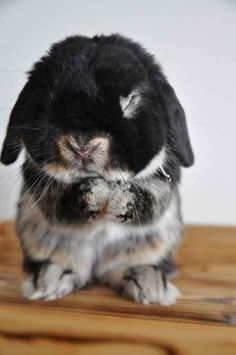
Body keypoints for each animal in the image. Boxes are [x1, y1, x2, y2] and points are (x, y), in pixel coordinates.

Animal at [0, 34, 194, 306]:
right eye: (49, 100)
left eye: (130, 100)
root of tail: (97, 268)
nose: (82, 145)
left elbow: (148, 203)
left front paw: (116, 196)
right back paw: (51, 281)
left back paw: (148, 286)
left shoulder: (162, 187)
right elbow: (62, 203)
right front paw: (99, 192)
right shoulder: (41, 186)